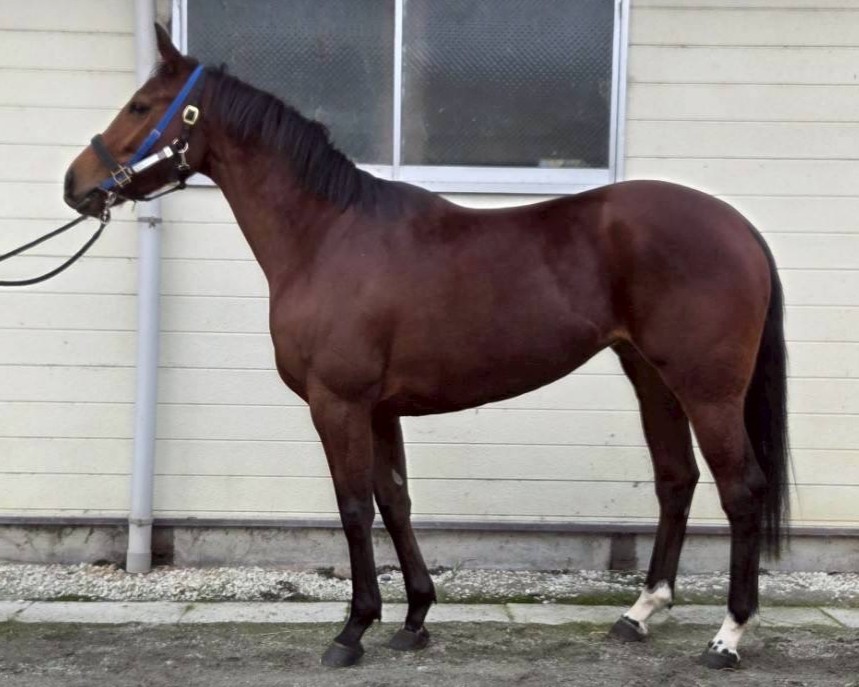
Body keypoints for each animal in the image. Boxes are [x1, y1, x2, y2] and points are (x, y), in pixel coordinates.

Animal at [64, 24, 790, 670]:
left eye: (140, 106)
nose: (75, 184)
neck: (327, 236)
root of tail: (740, 228)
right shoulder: (381, 409)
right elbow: (395, 501)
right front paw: (413, 619)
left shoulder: (338, 403)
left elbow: (354, 507)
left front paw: (353, 630)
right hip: (651, 376)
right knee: (676, 480)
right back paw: (639, 613)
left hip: (706, 388)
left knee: (741, 489)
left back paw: (728, 635)